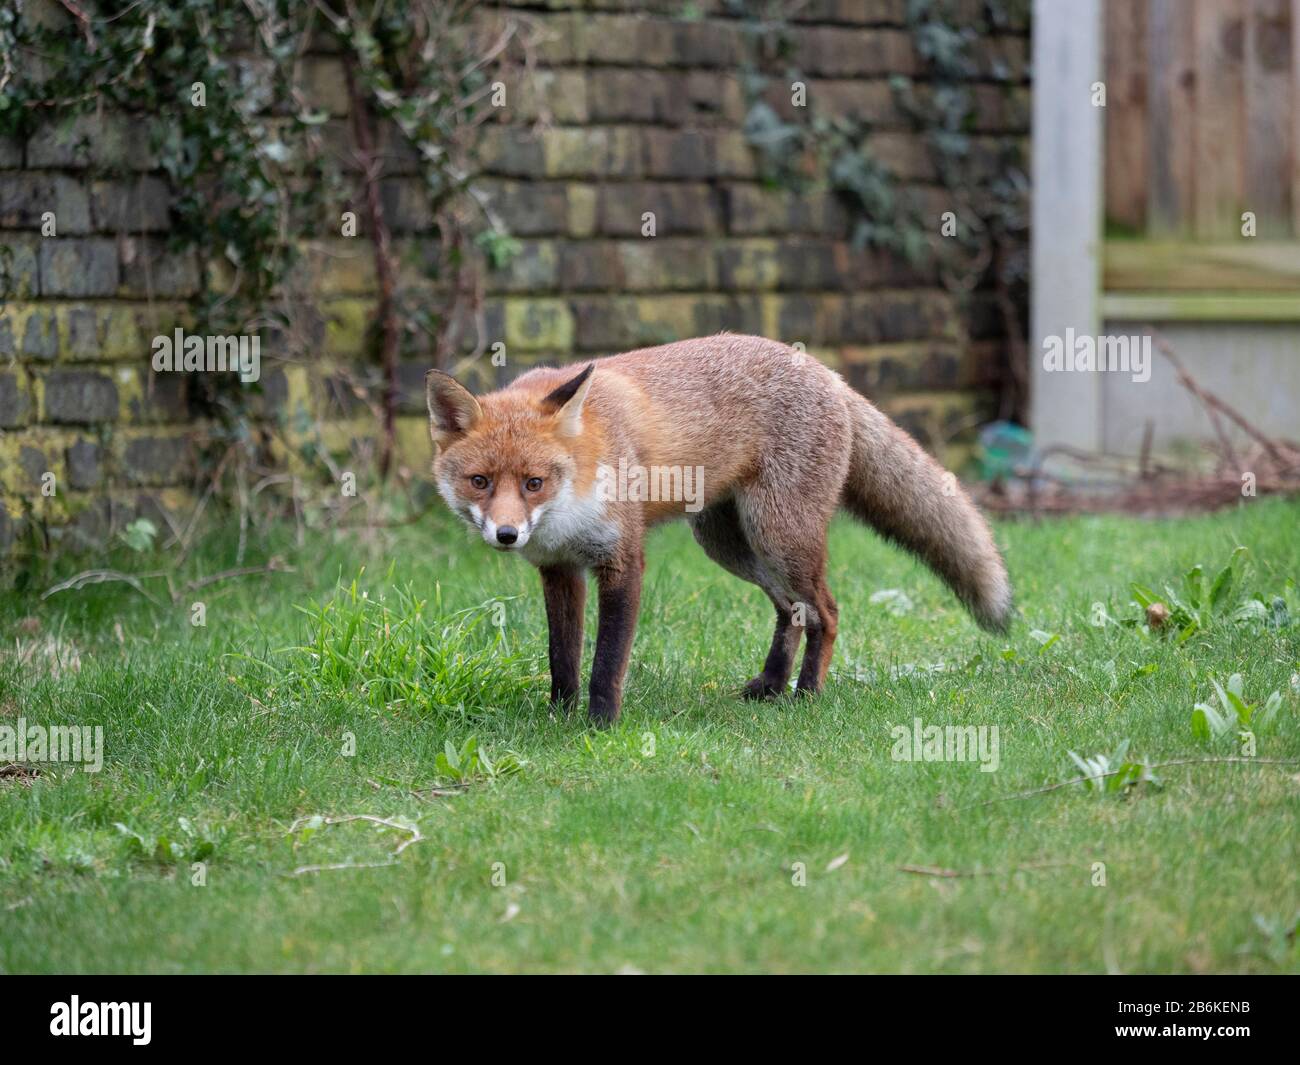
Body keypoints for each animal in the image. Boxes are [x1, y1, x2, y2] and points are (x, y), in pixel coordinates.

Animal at [427, 334, 1012, 725]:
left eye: (534, 482)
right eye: (480, 481)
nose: (507, 535)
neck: (568, 503)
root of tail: (825, 371)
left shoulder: (622, 559)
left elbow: (607, 659)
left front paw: (600, 725)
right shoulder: (559, 569)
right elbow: (562, 657)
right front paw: (559, 717)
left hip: (779, 534)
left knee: (825, 611)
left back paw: (807, 695)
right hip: (729, 543)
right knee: (790, 610)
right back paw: (772, 685)